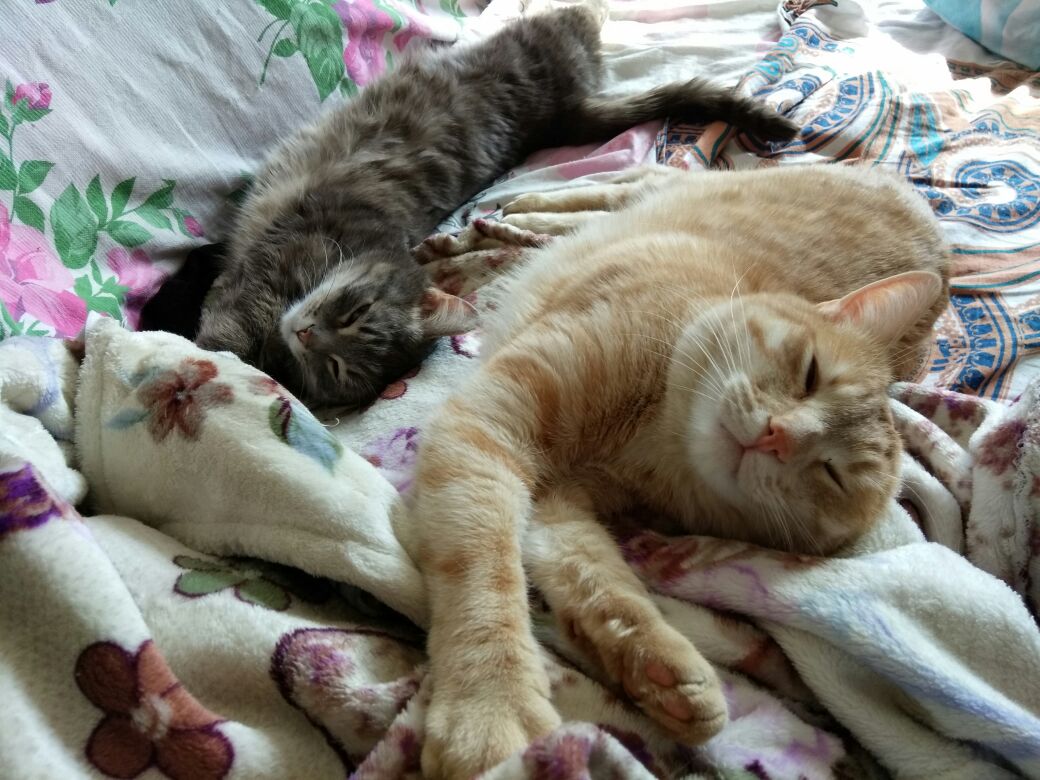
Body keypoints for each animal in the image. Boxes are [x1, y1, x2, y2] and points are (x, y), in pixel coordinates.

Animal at [193, 2, 798, 410]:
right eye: (354, 310)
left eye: (339, 367)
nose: (306, 335)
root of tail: (564, 113)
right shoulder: (267, 267)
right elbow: (227, 335)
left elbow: (228, 347)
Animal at [406, 163, 950, 778]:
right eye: (811, 375)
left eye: (831, 473)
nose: (780, 437)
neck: (648, 439)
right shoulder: (488, 430)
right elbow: (484, 574)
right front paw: (492, 708)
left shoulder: (557, 502)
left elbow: (591, 573)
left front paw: (652, 663)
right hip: (681, 188)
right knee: (626, 182)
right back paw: (514, 217)